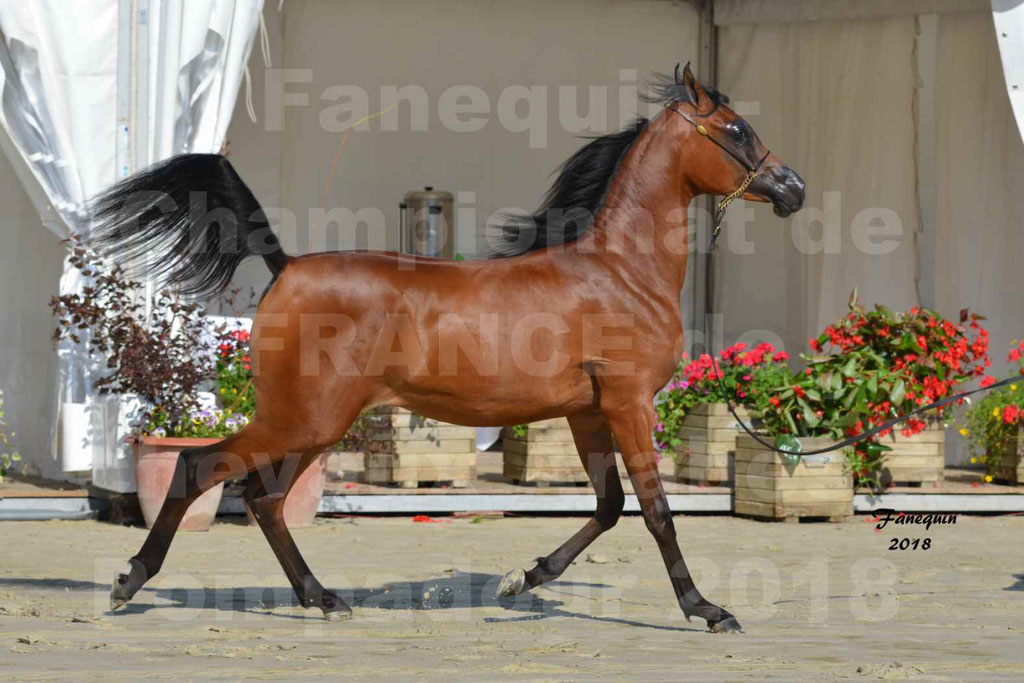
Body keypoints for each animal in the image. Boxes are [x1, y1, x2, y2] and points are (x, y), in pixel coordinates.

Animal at [96, 65, 802, 634]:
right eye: (736, 130)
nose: (792, 187)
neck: (620, 271)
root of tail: (286, 264)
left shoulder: (587, 411)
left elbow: (608, 506)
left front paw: (523, 578)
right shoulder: (628, 403)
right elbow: (656, 511)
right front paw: (708, 611)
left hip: (315, 424)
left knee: (264, 499)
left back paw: (321, 599)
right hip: (302, 419)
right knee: (199, 468)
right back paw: (128, 582)